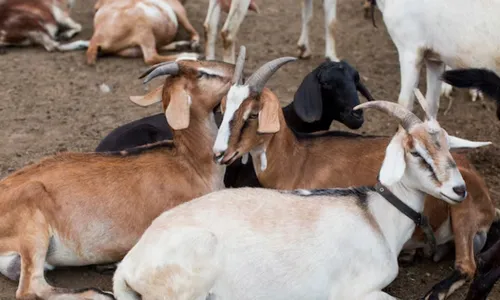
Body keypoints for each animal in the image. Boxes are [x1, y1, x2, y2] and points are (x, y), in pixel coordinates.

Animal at [0, 58, 235, 300]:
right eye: (202, 73)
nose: (235, 69)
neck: (191, 165)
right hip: (33, 224)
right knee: (30, 288)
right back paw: (101, 293)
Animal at [111, 95, 490, 298]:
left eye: (447, 147)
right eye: (416, 152)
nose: (459, 190)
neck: (375, 217)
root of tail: (131, 262)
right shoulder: (354, 291)